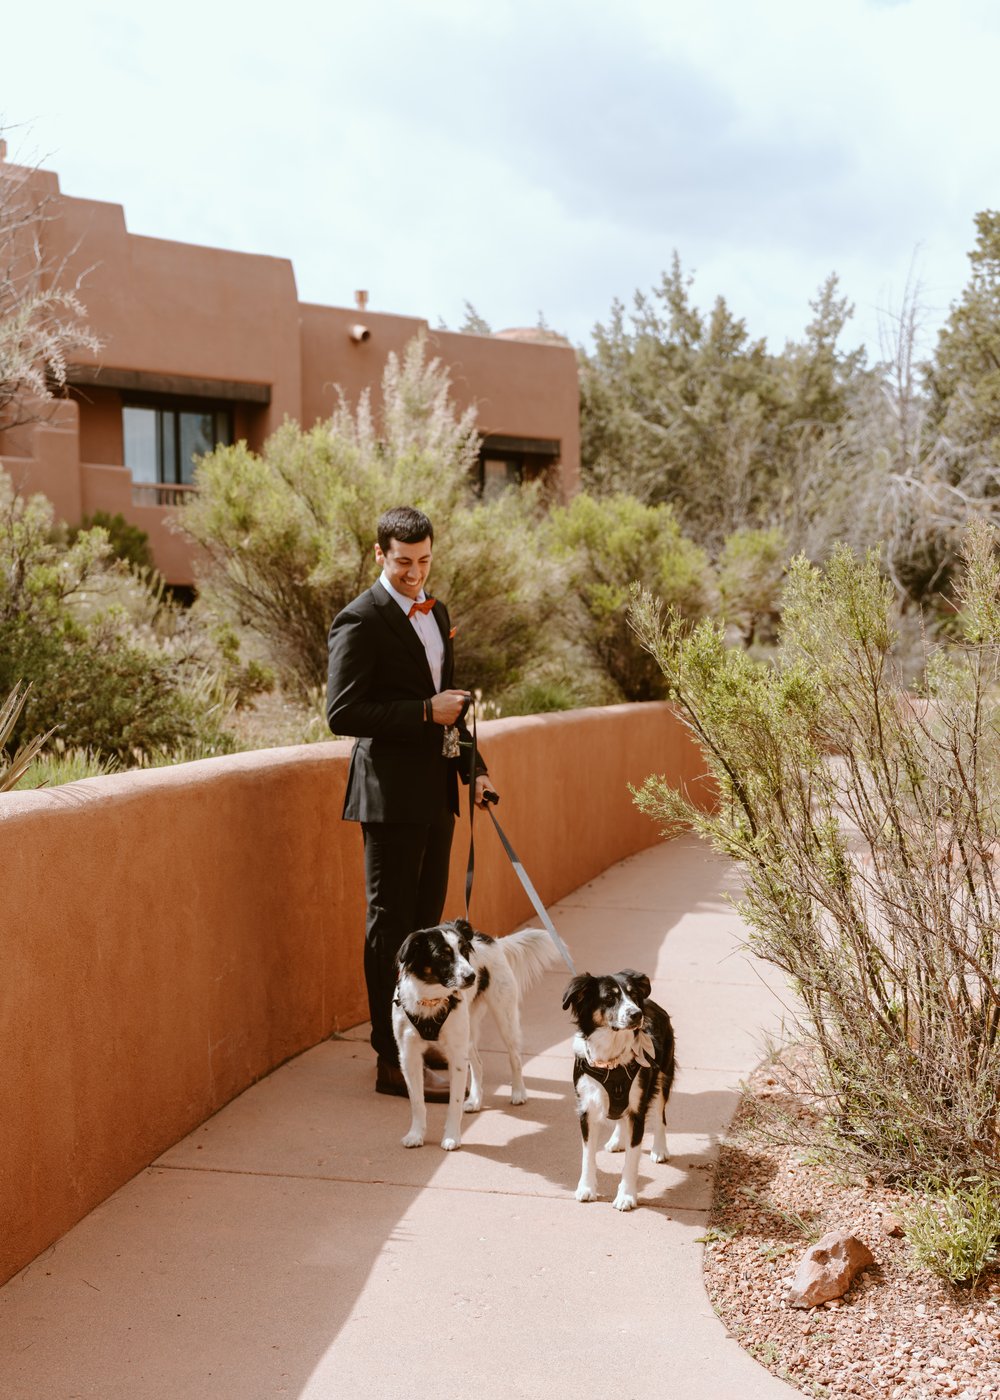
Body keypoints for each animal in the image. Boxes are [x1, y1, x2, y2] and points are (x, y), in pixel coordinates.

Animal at [392, 918, 557, 1148]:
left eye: (464, 952)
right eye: (443, 955)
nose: (471, 976)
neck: (430, 1000)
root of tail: (493, 941)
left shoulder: (456, 1055)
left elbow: (454, 1102)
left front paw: (452, 1137)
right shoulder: (409, 1056)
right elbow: (417, 1102)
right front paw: (416, 1135)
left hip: (504, 1017)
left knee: (515, 1057)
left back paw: (518, 1092)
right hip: (468, 1033)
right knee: (478, 1063)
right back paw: (476, 1100)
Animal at [557, 968, 675, 1209]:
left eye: (633, 995)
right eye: (610, 997)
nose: (636, 1014)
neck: (611, 1063)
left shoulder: (638, 1110)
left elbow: (631, 1158)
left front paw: (626, 1196)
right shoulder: (586, 1109)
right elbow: (587, 1155)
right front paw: (586, 1188)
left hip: (663, 1076)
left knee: (660, 1116)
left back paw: (659, 1149)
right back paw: (617, 1140)